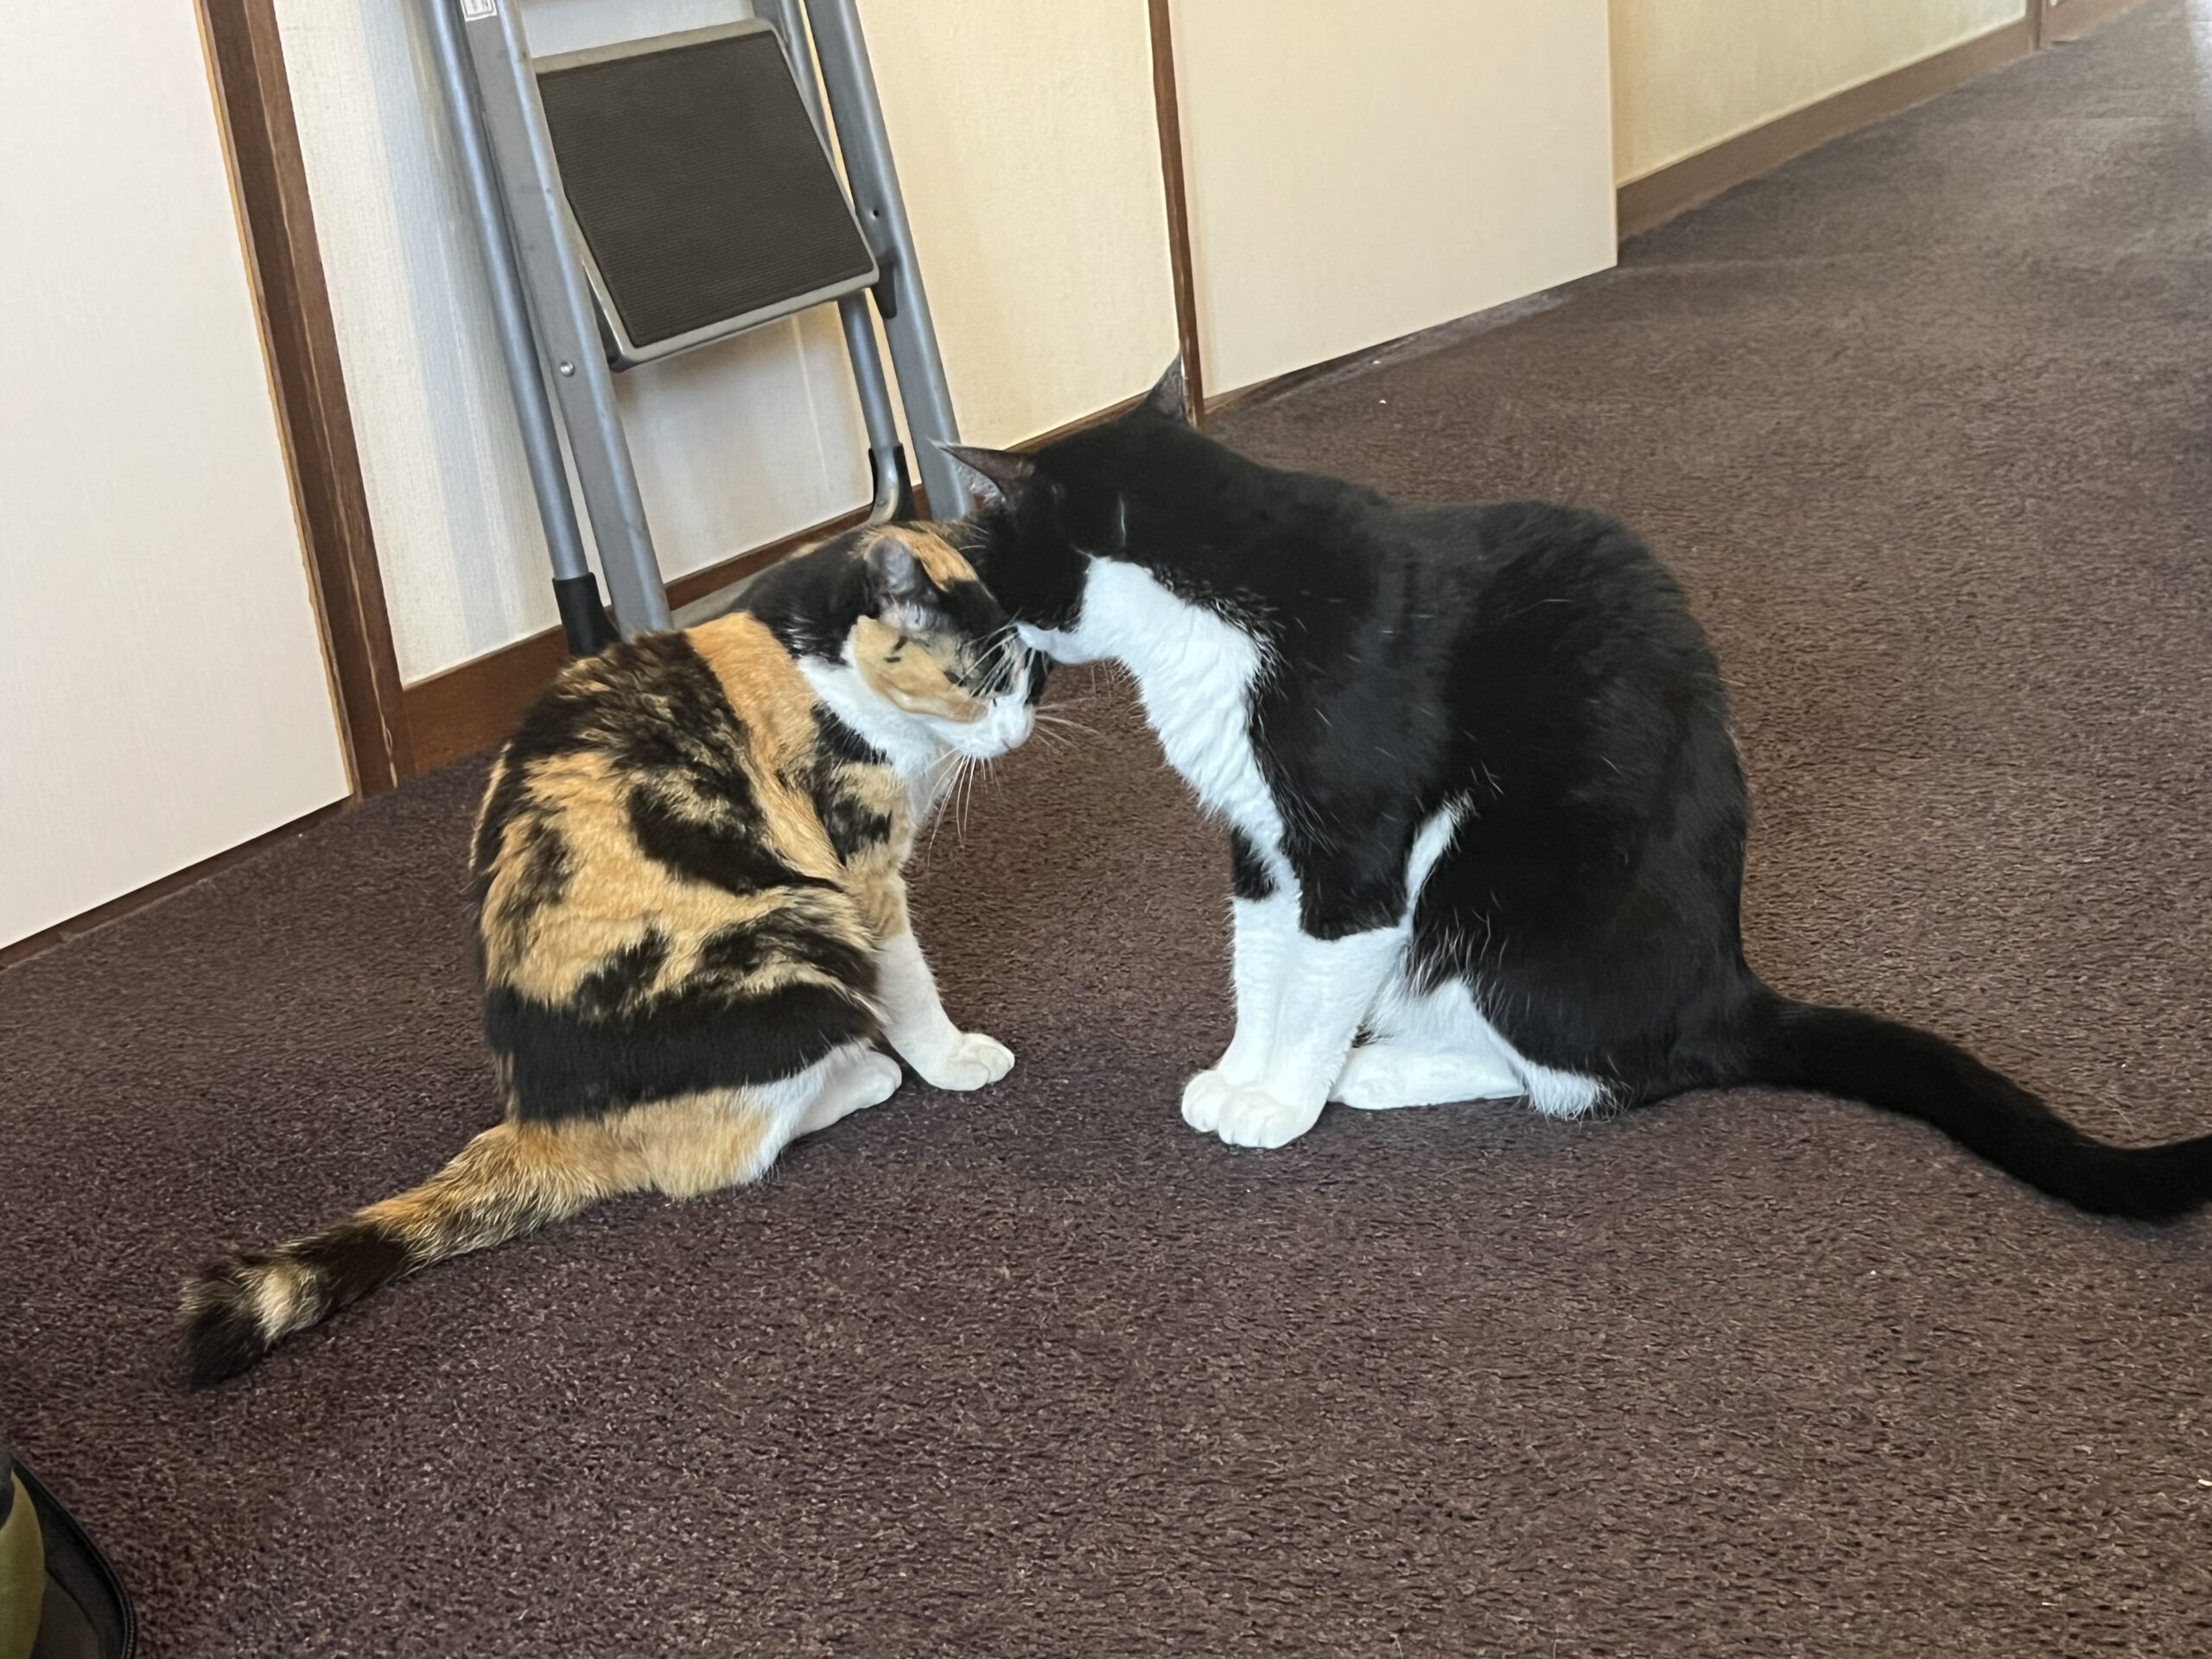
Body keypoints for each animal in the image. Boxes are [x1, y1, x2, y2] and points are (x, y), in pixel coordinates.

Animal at [181, 523, 1040, 1385]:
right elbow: (910, 985)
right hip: (799, 939)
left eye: (1031, 674)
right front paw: (953, 1059)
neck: (811, 660)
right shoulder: (862, 869)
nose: (1017, 733)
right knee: (717, 1158)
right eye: (975, 679)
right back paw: (863, 1076)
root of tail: (542, 1122)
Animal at [944, 363, 2212, 1218]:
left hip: (1510, 898)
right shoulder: (1260, 845)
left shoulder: (1356, 849)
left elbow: (1317, 980)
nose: (1007, 630)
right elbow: (1262, 966)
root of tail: (1728, 991)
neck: (1210, 606)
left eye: (1000, 563)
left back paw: (1374, 1070)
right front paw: (1238, 1074)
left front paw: (1282, 1098)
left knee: (1582, 1078)